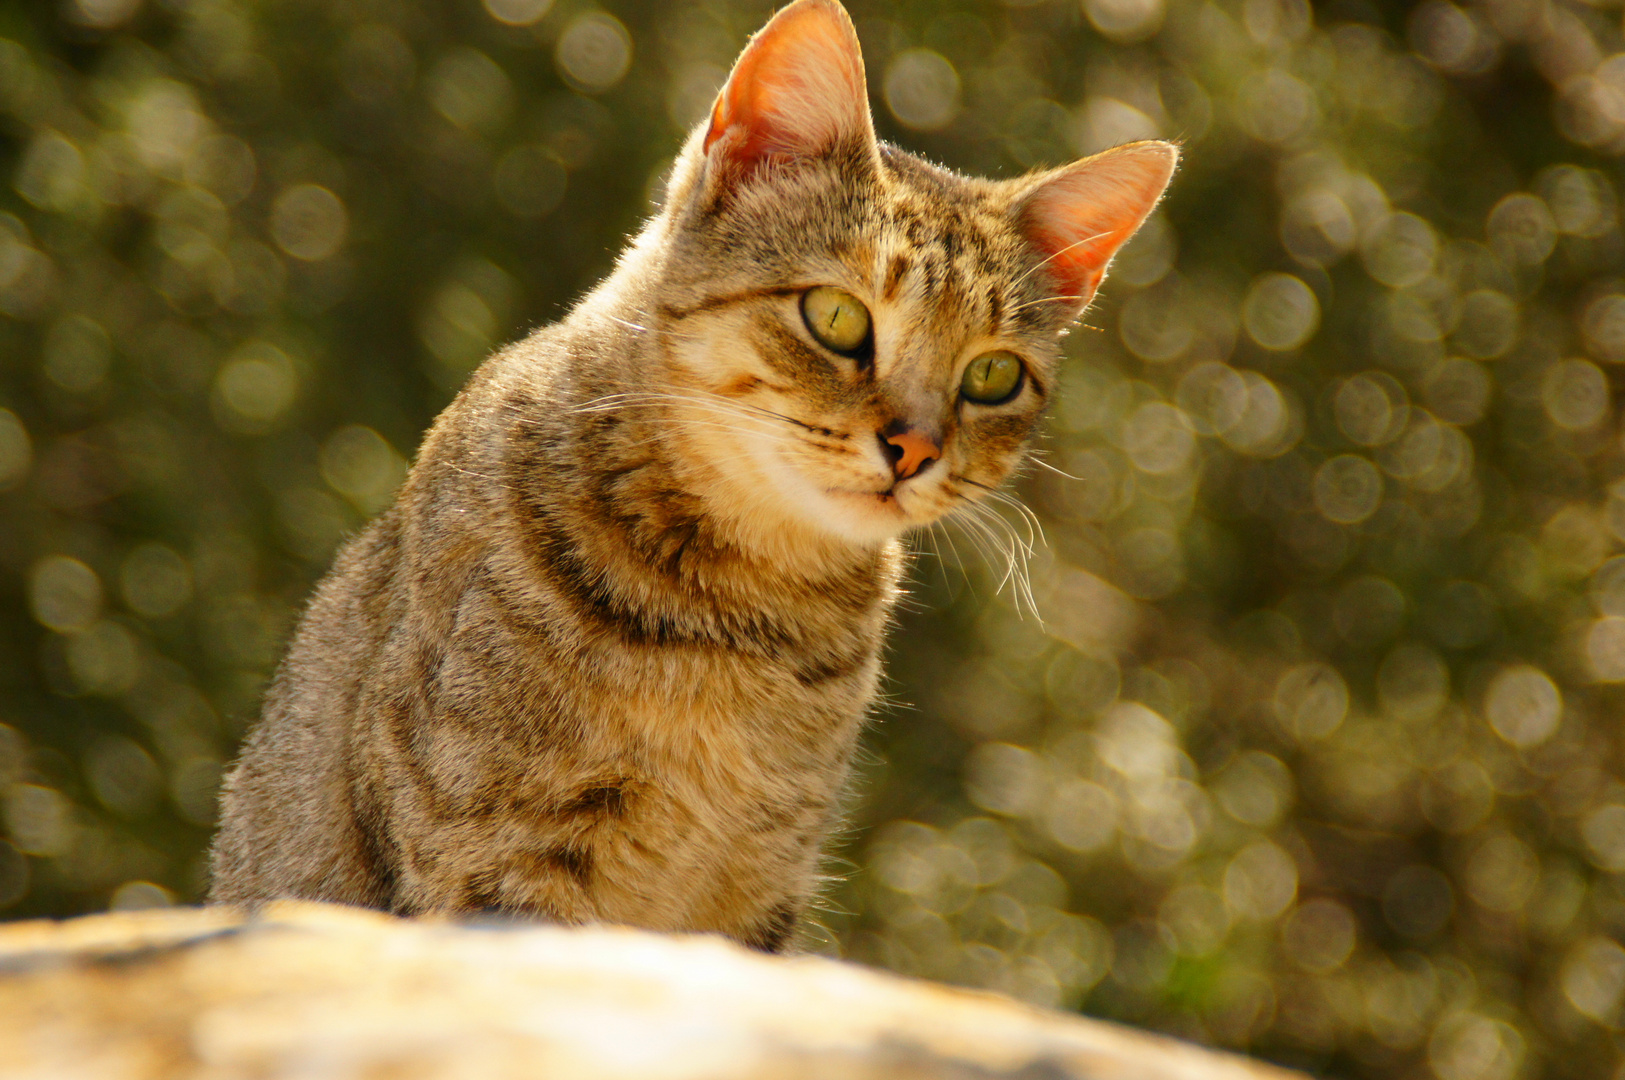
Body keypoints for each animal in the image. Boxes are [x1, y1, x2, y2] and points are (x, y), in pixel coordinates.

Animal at [209, 0, 1176, 954]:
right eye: (836, 318)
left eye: (992, 376)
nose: (913, 448)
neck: (743, 621)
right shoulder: (496, 860)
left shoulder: (758, 886)